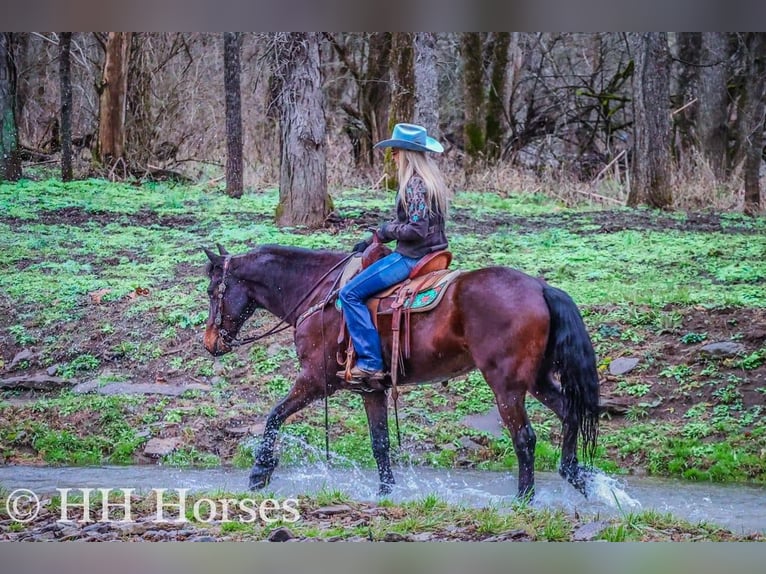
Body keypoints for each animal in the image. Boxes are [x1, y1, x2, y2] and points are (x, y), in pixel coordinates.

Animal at [203, 243, 600, 499]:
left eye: (211, 291)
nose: (210, 343)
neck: (318, 293)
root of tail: (541, 287)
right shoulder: (371, 390)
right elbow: (380, 443)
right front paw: (385, 492)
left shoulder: (316, 380)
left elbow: (274, 416)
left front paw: (260, 472)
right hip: (537, 381)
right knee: (570, 415)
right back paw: (577, 477)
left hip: (507, 386)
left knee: (525, 438)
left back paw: (524, 500)